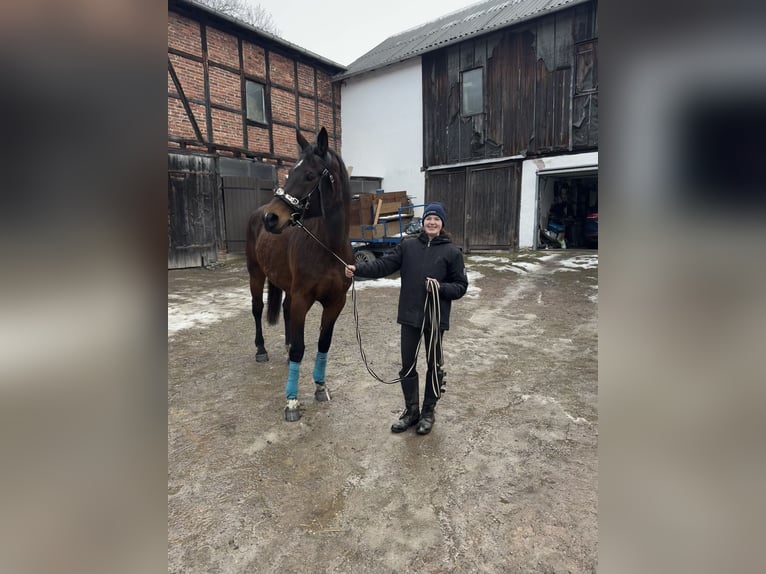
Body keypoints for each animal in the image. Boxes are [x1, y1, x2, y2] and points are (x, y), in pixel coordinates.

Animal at [245, 127, 353, 421]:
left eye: (309, 175)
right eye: (289, 173)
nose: (272, 218)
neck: (328, 247)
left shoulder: (335, 303)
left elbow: (323, 344)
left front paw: (320, 387)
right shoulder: (303, 299)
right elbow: (300, 348)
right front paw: (292, 402)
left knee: (283, 308)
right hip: (255, 275)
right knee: (257, 309)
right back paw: (261, 350)